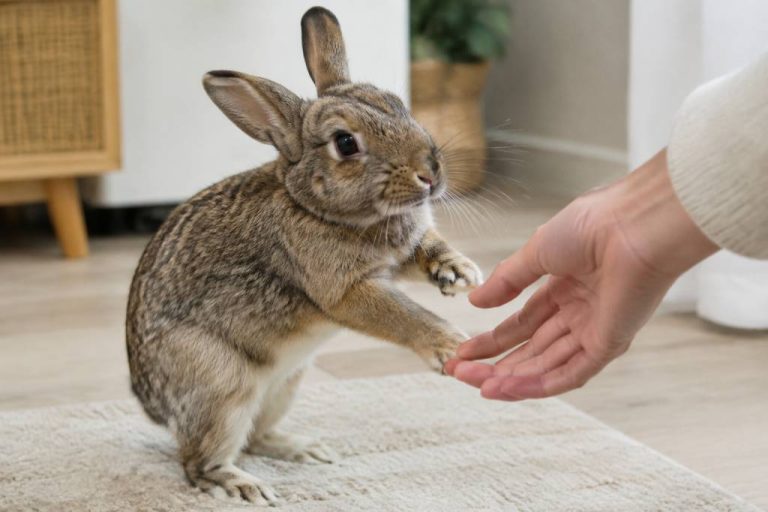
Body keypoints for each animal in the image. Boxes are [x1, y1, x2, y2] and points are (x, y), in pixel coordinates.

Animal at [126, 6, 482, 506]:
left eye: (397, 103)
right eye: (346, 143)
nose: (431, 174)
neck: (314, 205)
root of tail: (152, 405)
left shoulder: (406, 250)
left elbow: (427, 248)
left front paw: (460, 273)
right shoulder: (346, 293)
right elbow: (403, 315)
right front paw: (450, 347)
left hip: (285, 384)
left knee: (256, 436)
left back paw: (306, 451)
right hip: (222, 389)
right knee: (199, 462)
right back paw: (245, 486)